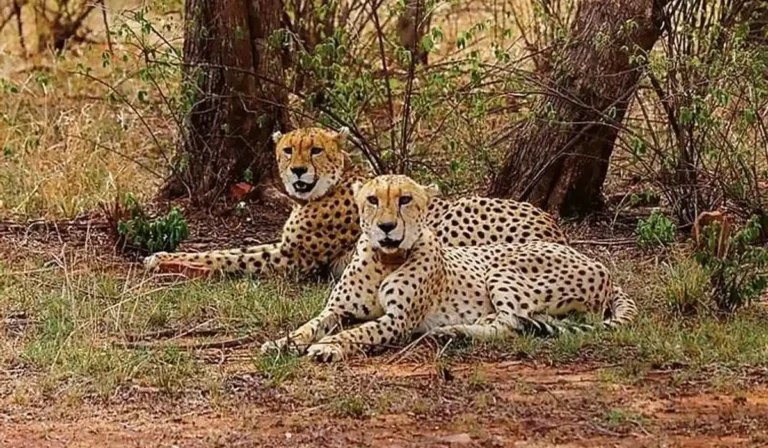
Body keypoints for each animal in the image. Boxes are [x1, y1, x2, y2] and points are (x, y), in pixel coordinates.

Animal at [144, 127, 567, 279]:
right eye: (288, 150)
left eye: (315, 150)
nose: (297, 171)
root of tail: (553, 225)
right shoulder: (286, 248)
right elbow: (230, 249)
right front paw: (164, 256)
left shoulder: (293, 259)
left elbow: (228, 257)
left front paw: (170, 263)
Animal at [260, 174, 637, 362]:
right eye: (372, 199)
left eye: (405, 199)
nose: (386, 227)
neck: (385, 259)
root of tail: (599, 265)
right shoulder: (337, 310)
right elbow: (308, 326)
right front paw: (281, 342)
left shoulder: (398, 321)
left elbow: (358, 332)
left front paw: (329, 347)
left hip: (502, 269)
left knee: (511, 323)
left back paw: (454, 331)